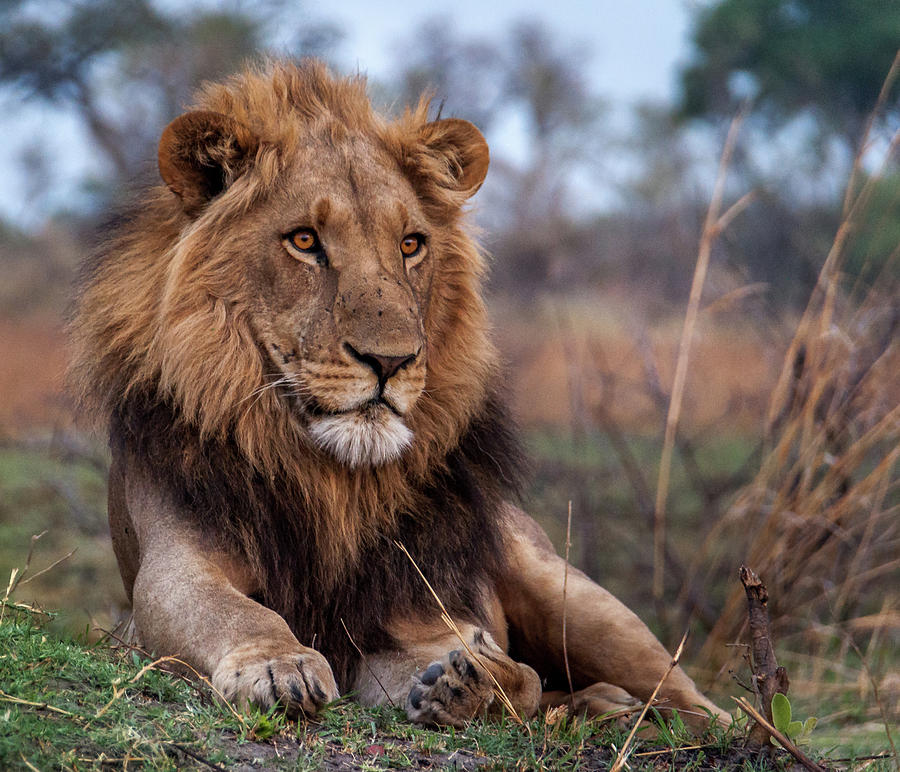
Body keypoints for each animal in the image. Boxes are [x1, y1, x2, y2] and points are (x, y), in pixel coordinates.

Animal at [70, 60, 728, 728]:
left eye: (410, 244)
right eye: (304, 240)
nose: (390, 360)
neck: (330, 479)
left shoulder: (408, 613)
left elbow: (501, 668)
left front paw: (476, 680)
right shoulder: (175, 568)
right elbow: (237, 611)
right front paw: (280, 665)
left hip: (568, 590)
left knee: (691, 698)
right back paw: (601, 706)